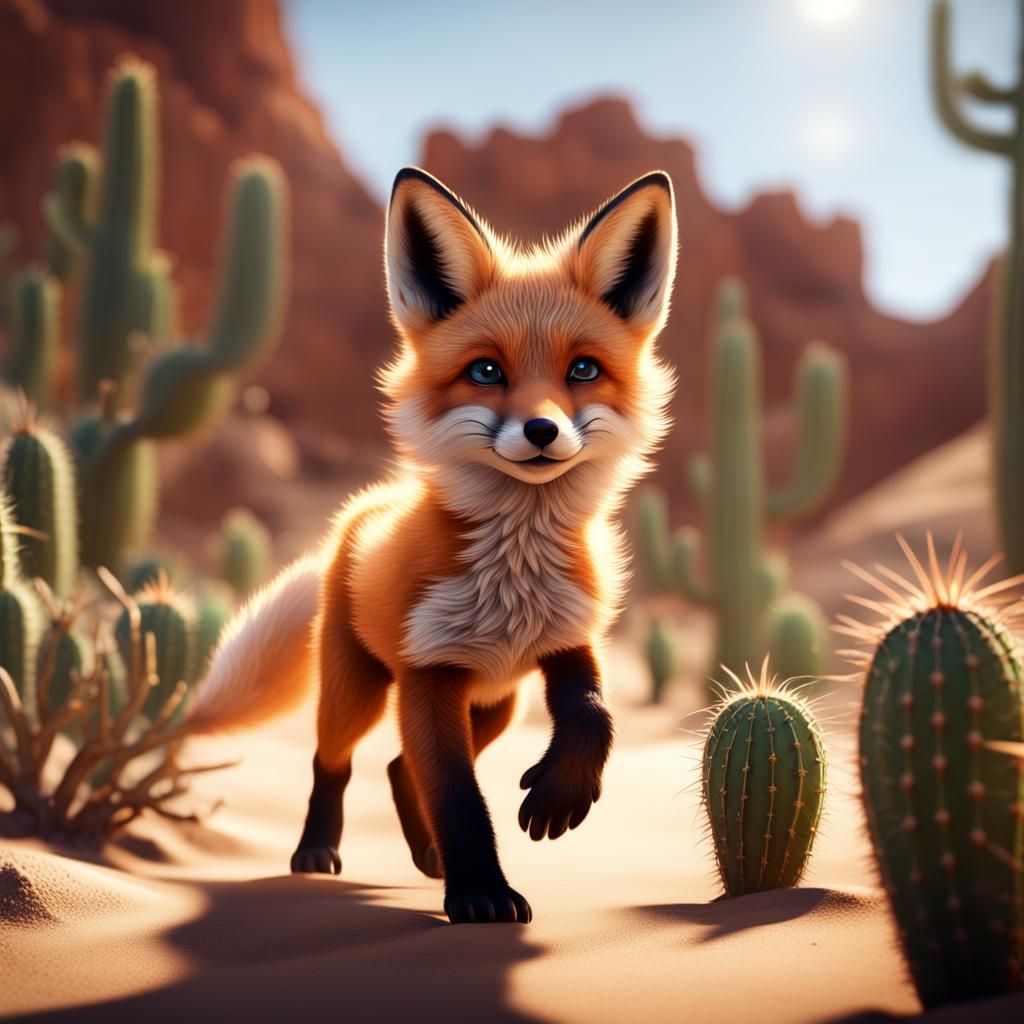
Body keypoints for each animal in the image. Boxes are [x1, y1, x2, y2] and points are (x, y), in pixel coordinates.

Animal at [186, 166, 678, 924]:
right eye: (485, 372)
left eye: (584, 370)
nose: (542, 431)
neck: (514, 574)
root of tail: (368, 506)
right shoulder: (429, 671)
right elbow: (456, 794)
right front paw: (480, 893)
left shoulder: (568, 636)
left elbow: (594, 712)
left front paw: (559, 793)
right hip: (359, 688)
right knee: (338, 759)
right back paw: (316, 851)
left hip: (498, 702)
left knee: (397, 764)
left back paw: (424, 855)